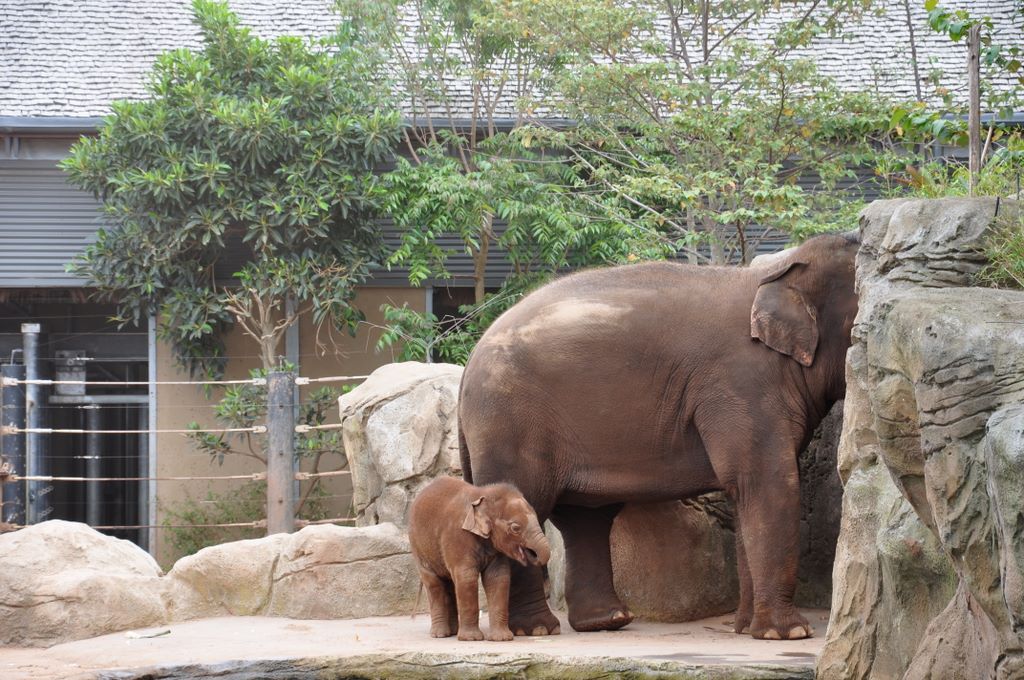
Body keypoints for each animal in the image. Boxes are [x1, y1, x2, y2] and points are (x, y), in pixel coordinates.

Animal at [408, 475, 552, 641]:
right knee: (434, 584)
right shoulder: (457, 536)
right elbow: (466, 577)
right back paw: (440, 635)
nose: (533, 553)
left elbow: (498, 577)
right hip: (418, 548)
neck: (483, 494)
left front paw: (501, 639)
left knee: (448, 583)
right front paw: (471, 639)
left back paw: (452, 632)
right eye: (515, 528)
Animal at [458, 231, 859, 641]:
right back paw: (537, 629)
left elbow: (746, 492)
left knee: (585, 517)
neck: (777, 269)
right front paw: (787, 634)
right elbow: (767, 481)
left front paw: (747, 628)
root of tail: (468, 363)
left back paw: (607, 621)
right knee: (529, 507)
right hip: (509, 423)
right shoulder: (741, 383)